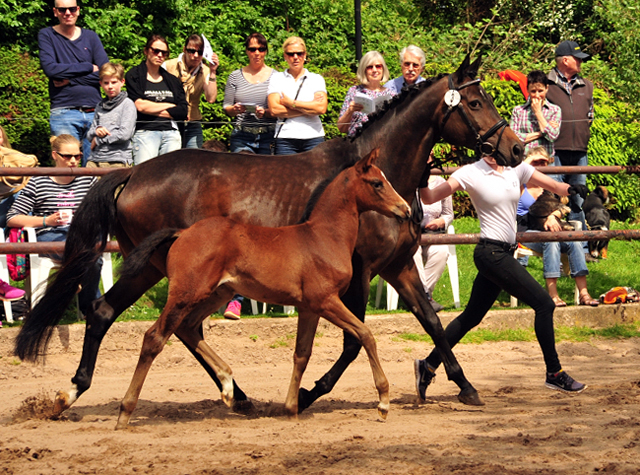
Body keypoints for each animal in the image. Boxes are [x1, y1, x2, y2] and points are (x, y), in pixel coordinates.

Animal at [116, 151, 410, 430]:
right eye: (377, 183)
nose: (405, 209)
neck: (323, 237)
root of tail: (182, 233)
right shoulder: (326, 301)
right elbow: (366, 335)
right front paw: (383, 402)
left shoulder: (309, 308)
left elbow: (302, 354)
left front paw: (292, 408)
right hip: (187, 293)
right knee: (155, 337)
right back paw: (125, 412)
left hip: (217, 293)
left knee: (187, 328)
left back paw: (228, 387)